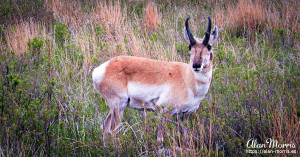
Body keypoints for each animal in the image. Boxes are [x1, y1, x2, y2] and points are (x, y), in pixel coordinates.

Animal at [92, 16, 218, 146]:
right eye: (190, 47)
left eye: (209, 46)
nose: (196, 65)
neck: (187, 78)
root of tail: (103, 68)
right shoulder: (164, 112)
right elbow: (160, 139)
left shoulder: (183, 116)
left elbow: (186, 138)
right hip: (119, 106)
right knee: (112, 132)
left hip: (114, 108)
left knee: (105, 129)